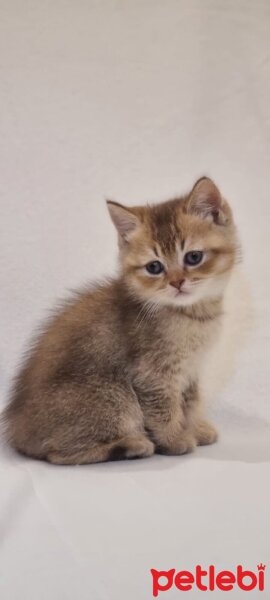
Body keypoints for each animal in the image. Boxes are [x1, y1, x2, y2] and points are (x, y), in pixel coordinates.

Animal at [3, 178, 237, 464]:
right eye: (154, 267)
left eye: (193, 257)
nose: (177, 282)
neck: (193, 315)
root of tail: (18, 430)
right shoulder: (152, 374)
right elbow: (164, 409)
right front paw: (175, 440)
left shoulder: (190, 371)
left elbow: (190, 403)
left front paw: (194, 428)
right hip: (115, 396)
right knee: (58, 454)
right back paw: (132, 446)